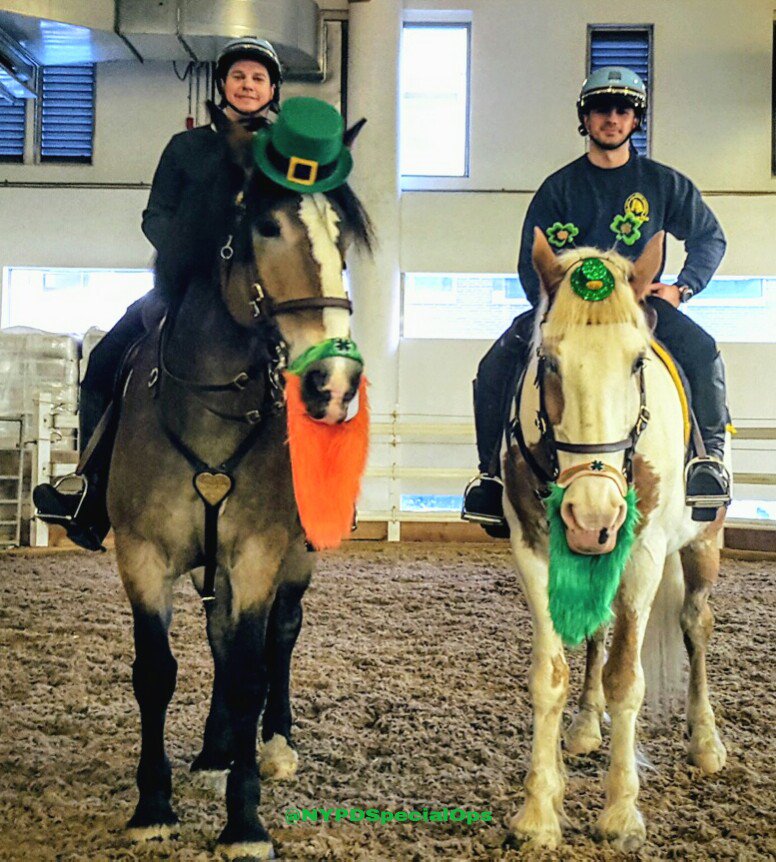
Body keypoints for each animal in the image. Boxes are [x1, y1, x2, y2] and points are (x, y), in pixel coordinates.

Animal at [106, 106, 373, 860]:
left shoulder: (257, 554)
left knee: (278, 636)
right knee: (221, 637)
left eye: (341, 236)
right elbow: (157, 671)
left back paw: (271, 744)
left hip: (293, 558)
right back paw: (214, 751)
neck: (209, 404)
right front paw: (154, 805)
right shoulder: (142, 556)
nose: (334, 382)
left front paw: (244, 822)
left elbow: (253, 670)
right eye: (267, 226)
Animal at [503, 229, 727, 852]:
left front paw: (622, 813)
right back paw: (583, 727)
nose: (592, 515)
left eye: (636, 361)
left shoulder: (645, 557)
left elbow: (627, 679)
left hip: (704, 544)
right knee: (597, 635)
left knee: (696, 624)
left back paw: (705, 742)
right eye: (550, 361)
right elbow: (550, 676)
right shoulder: (533, 551)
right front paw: (539, 812)